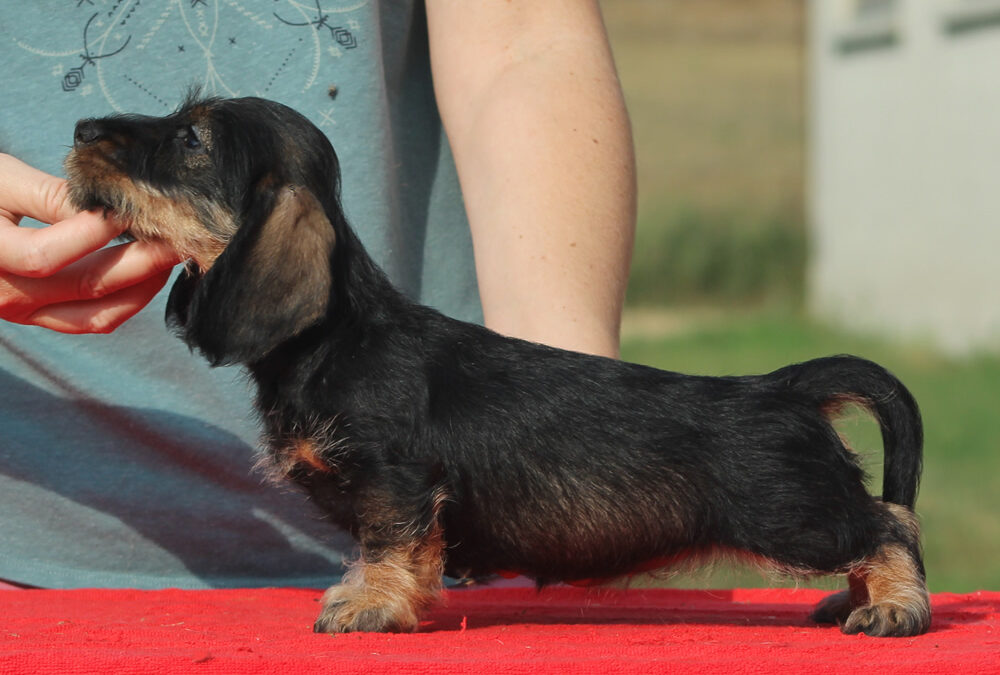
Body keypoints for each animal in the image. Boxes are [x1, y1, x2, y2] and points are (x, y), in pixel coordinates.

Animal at [66, 96, 932, 640]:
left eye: (192, 140)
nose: (80, 128)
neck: (334, 336)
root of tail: (782, 385)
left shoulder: (395, 481)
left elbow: (390, 544)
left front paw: (370, 606)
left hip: (793, 512)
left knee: (890, 525)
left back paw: (893, 608)